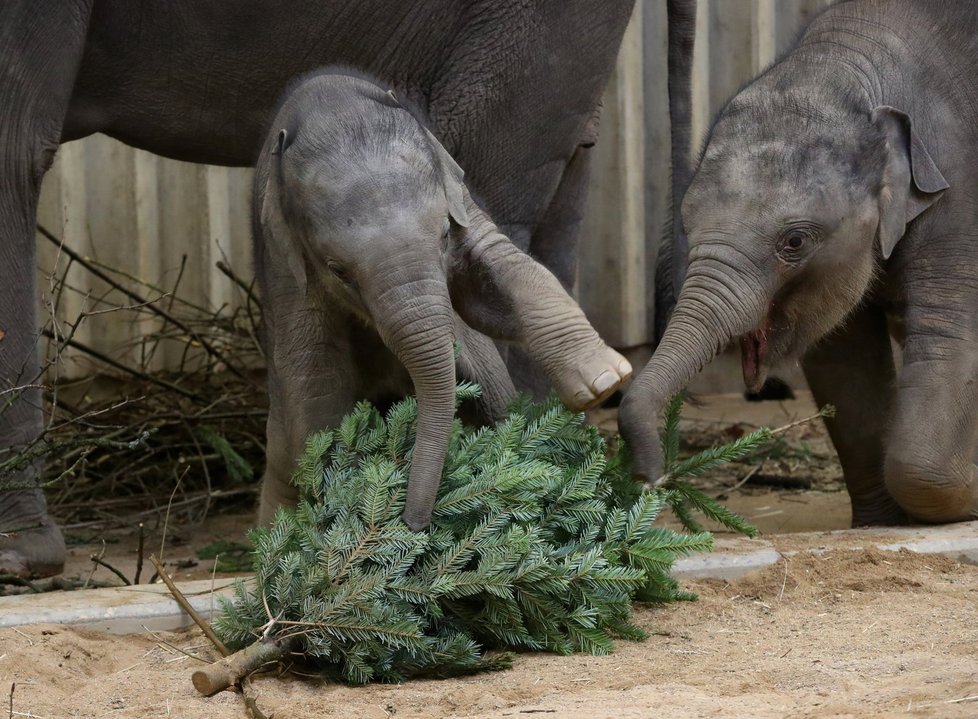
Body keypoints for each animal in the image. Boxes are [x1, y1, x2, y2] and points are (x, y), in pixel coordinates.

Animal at [255, 69, 628, 528]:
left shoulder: (461, 199)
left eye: (445, 235)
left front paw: (605, 382)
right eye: (338, 270)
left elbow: (496, 276)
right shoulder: (284, 266)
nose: (414, 524)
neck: (331, 96)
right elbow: (314, 374)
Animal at [620, 0, 972, 528]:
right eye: (685, 221)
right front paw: (879, 525)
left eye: (795, 241)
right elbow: (841, 362)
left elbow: (948, 337)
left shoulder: (961, 199)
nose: (653, 480)